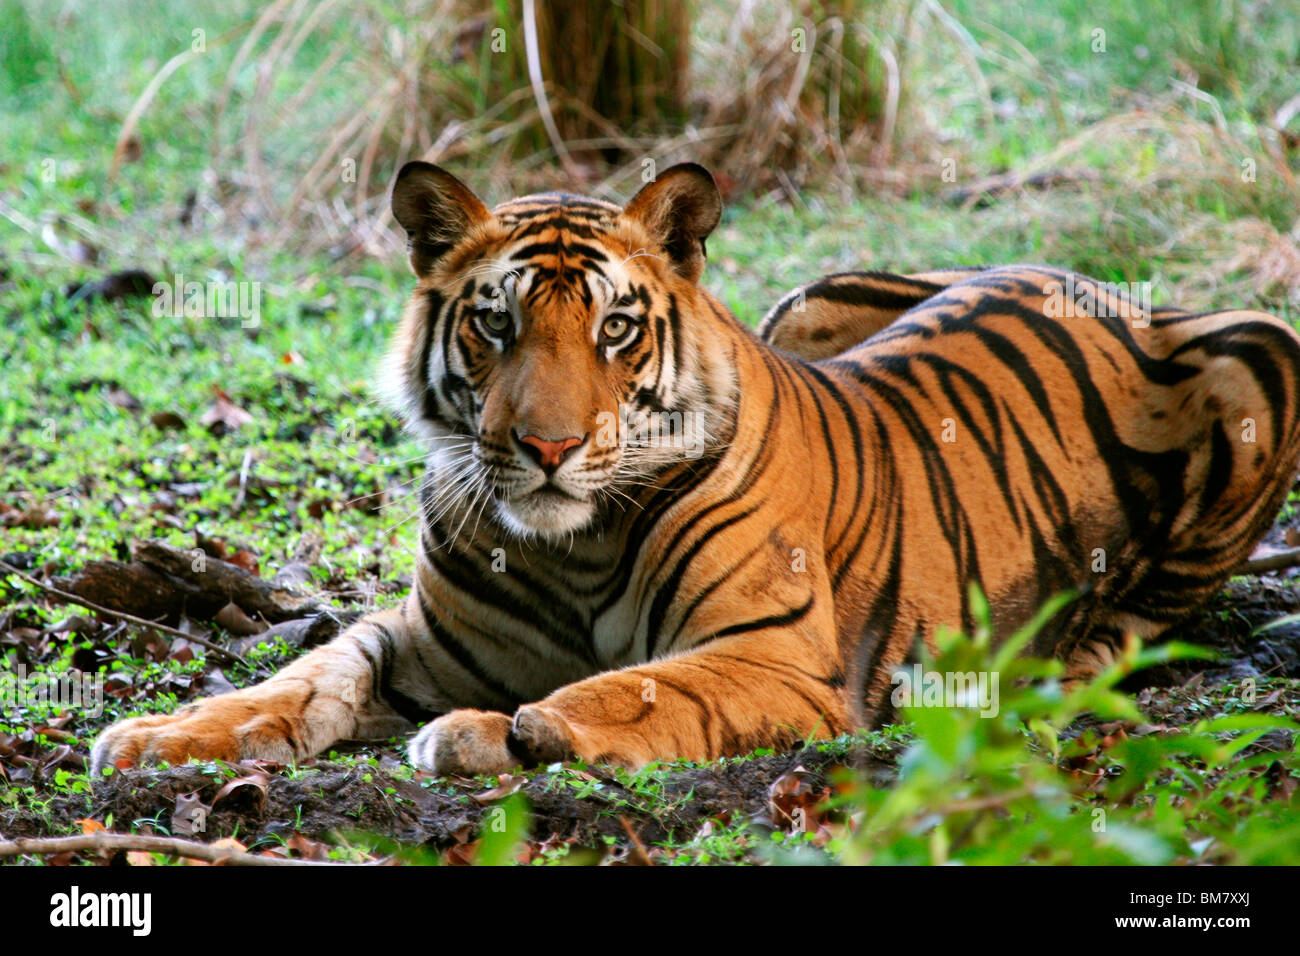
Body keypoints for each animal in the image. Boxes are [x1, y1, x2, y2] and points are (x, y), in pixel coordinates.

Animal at [96, 162, 1300, 780]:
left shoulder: (775, 656)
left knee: (1156, 614)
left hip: (1259, 352)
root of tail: (1093, 279)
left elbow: (636, 684)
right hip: (813, 295)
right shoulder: (420, 635)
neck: (568, 548)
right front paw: (161, 734)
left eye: (616, 328)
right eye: (495, 323)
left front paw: (500, 729)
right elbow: (304, 675)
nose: (546, 447)